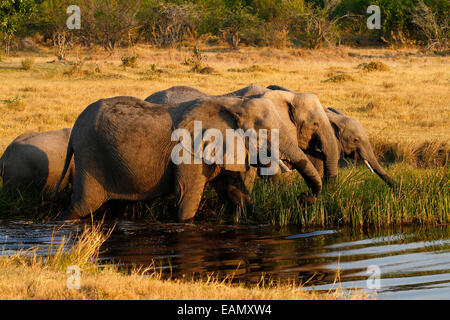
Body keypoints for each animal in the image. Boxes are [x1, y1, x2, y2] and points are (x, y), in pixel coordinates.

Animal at [51, 95, 324, 220]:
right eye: (264, 131)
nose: (304, 197)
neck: (231, 104)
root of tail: (74, 130)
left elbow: (236, 192)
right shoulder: (187, 153)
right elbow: (187, 197)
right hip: (90, 158)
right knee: (82, 205)